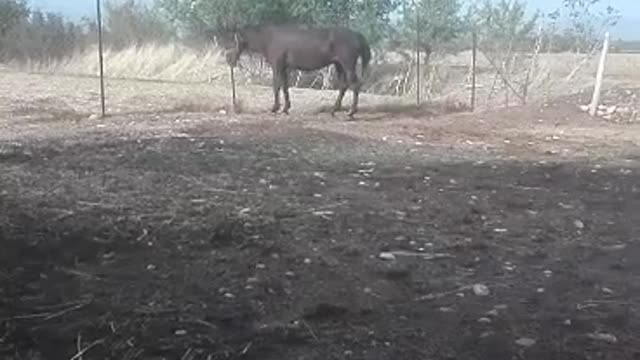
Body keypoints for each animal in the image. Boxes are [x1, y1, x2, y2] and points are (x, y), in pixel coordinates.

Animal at [225, 23, 372, 116]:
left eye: (235, 41)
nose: (228, 59)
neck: (268, 38)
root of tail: (357, 35)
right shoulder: (284, 68)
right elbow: (285, 87)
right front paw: (285, 108)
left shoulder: (277, 65)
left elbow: (276, 86)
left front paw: (275, 108)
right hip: (339, 65)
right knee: (343, 86)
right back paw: (334, 110)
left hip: (347, 65)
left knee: (355, 85)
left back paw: (351, 112)